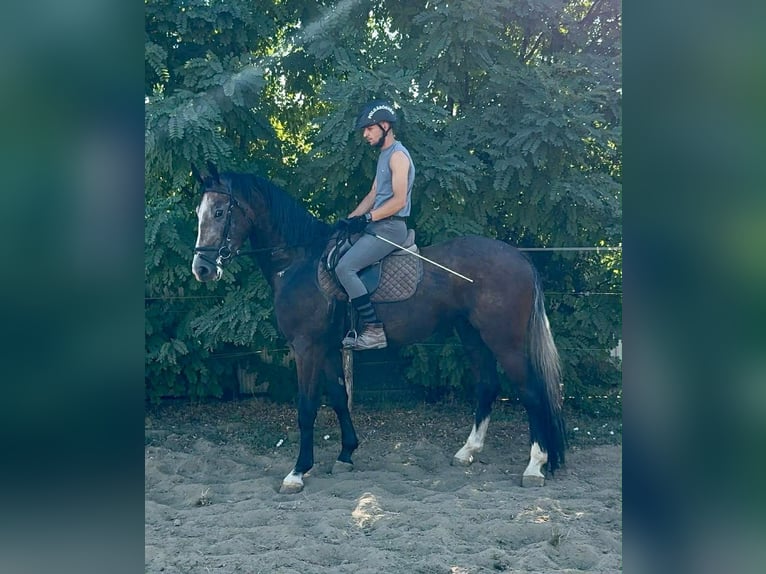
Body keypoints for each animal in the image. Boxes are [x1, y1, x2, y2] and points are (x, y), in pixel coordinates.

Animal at [190, 165, 567, 493]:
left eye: (220, 212)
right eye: (199, 212)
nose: (202, 269)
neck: (298, 263)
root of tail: (520, 257)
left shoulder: (306, 348)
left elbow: (307, 408)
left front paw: (297, 472)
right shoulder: (328, 348)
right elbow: (338, 398)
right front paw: (345, 454)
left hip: (505, 341)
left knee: (531, 392)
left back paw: (535, 466)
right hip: (472, 335)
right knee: (488, 386)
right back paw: (468, 452)